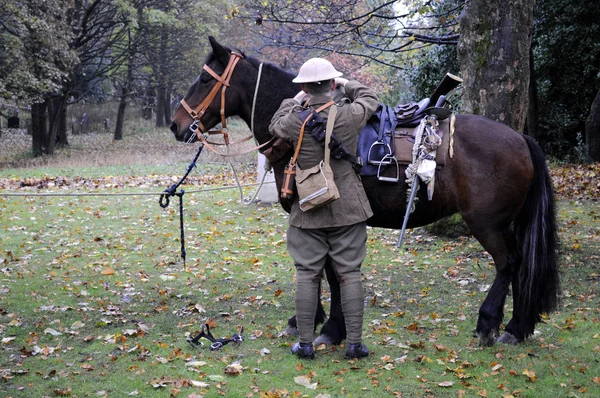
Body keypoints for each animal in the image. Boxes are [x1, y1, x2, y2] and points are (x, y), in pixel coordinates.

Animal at [168, 38, 556, 348]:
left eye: (205, 79)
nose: (175, 124)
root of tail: (520, 138)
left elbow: (328, 271)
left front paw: (329, 328)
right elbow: (321, 269)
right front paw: (313, 320)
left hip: (487, 224)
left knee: (509, 264)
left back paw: (492, 324)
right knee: (521, 265)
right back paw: (518, 326)